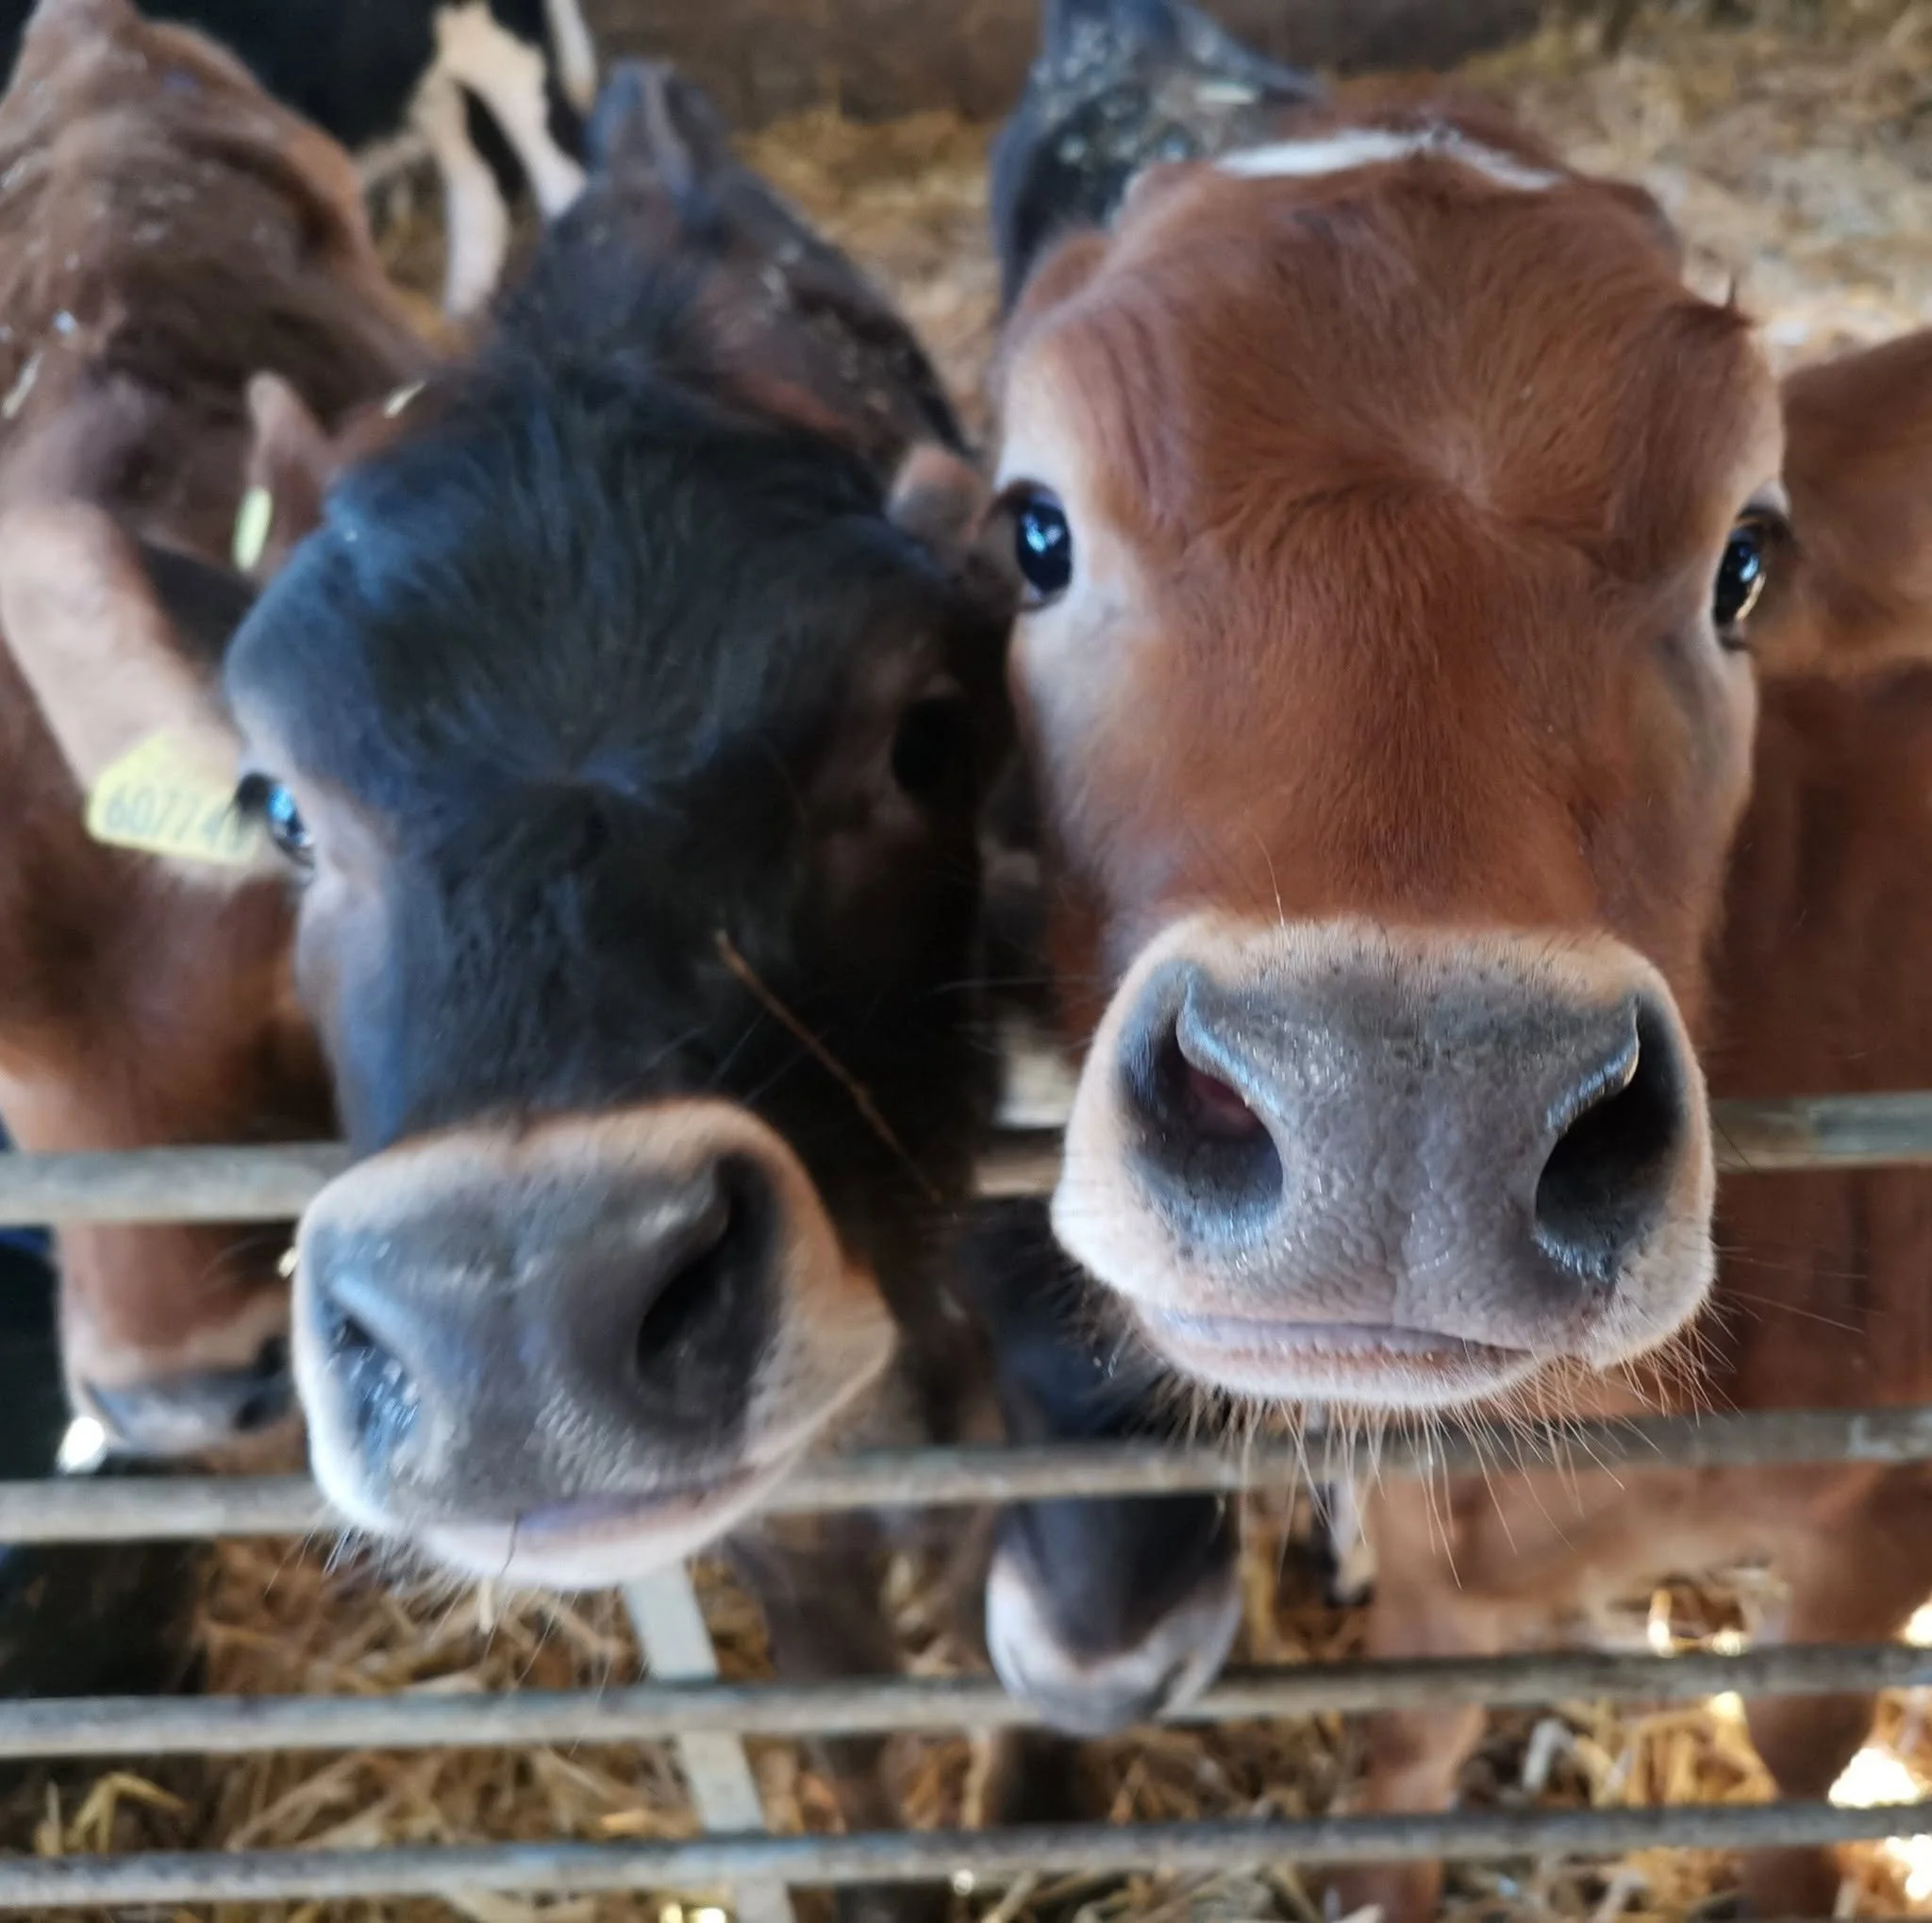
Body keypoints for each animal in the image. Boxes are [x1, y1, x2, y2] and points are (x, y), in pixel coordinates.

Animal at [986, 0, 1932, 1910]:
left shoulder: (1886, 1517)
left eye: (1744, 563)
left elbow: (1802, 1753)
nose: (1406, 1106)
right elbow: (1414, 1743)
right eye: (1033, 532)